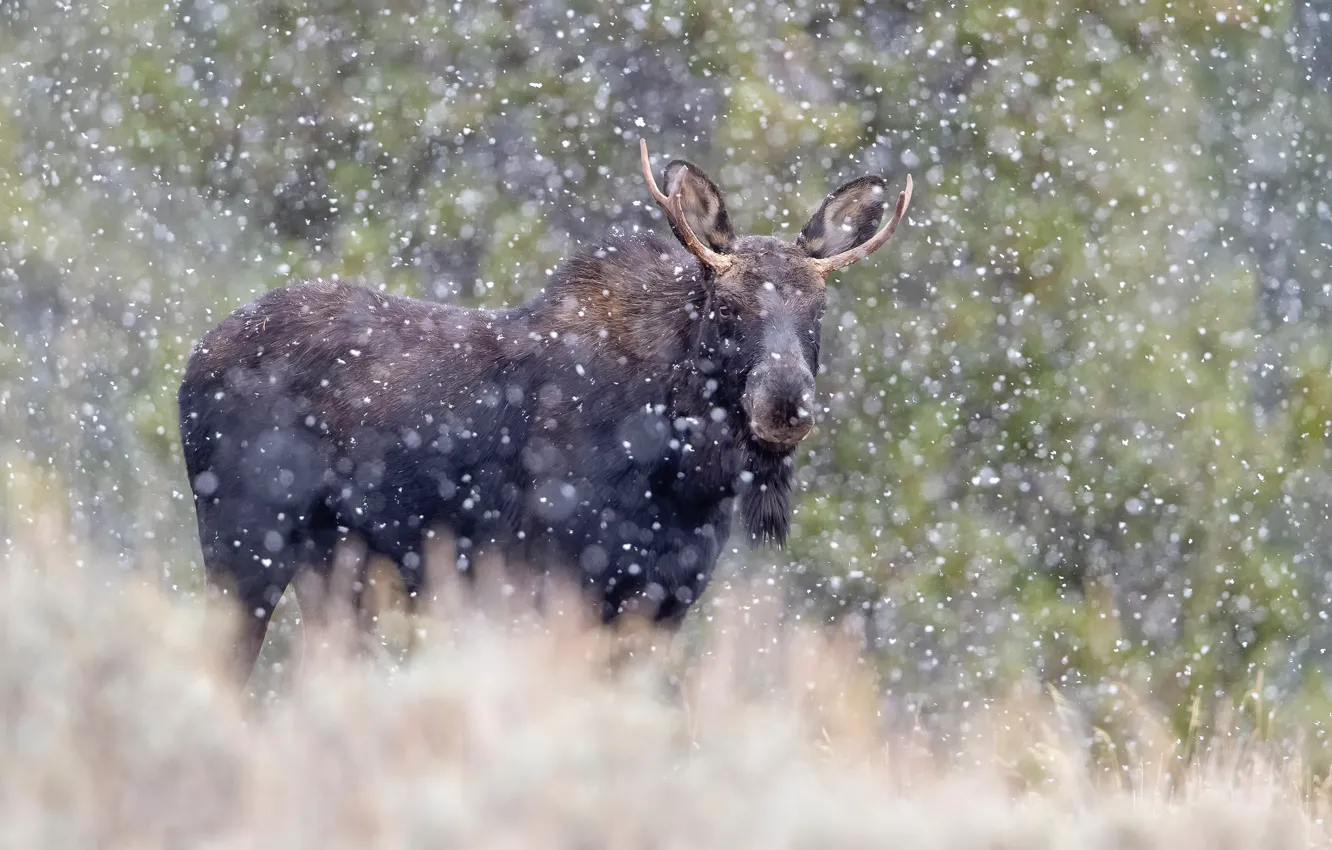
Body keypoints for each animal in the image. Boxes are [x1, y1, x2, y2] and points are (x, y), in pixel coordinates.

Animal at [178, 139, 912, 682]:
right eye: (729, 310)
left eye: (818, 314)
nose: (785, 403)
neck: (686, 477)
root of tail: (193, 360)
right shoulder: (551, 584)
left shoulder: (663, 606)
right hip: (245, 542)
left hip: (334, 574)